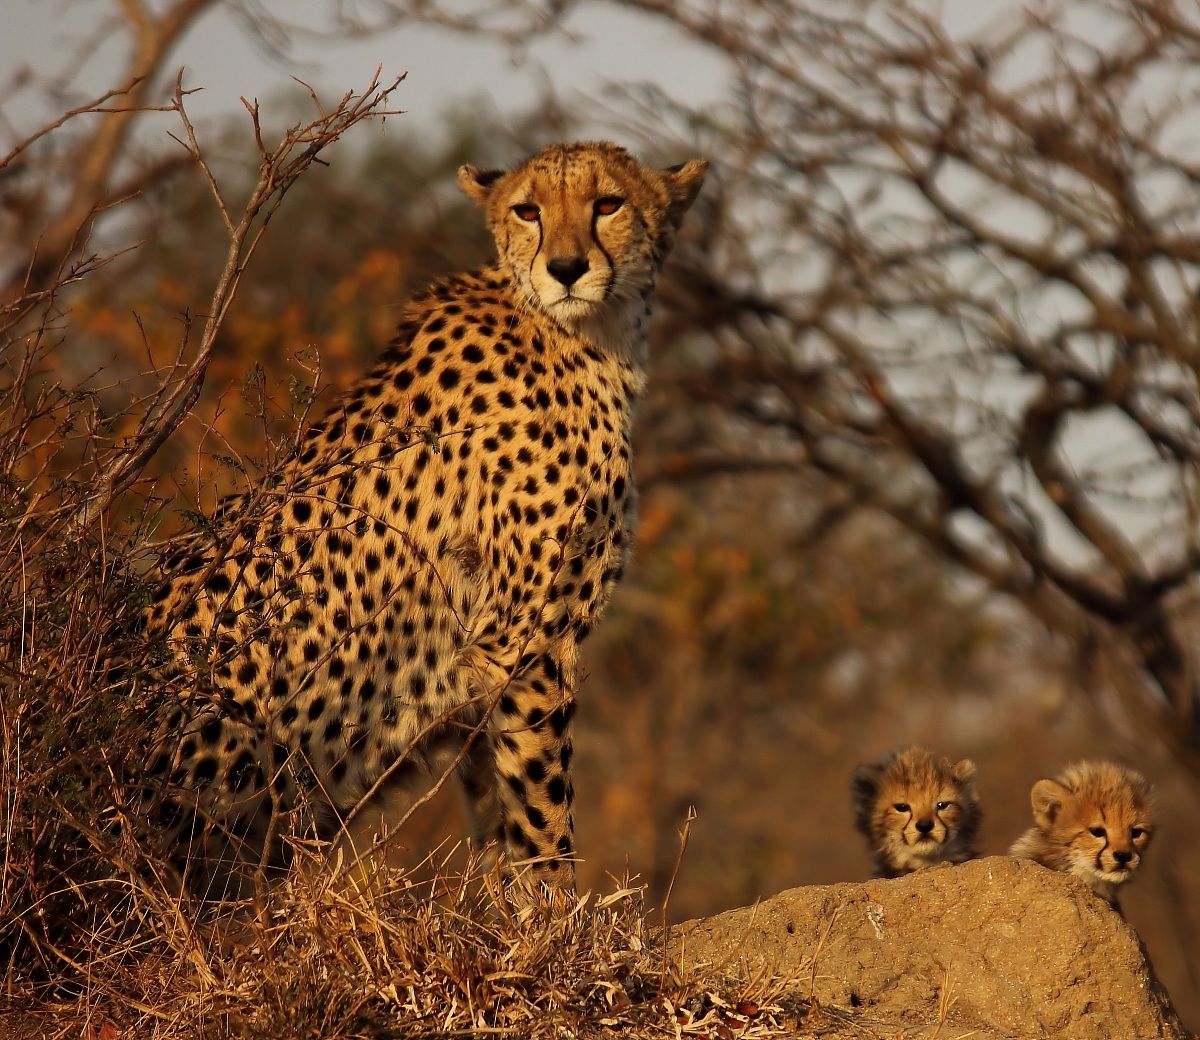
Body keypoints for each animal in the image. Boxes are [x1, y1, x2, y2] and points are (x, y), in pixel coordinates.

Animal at [140, 141, 708, 897]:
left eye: (608, 204)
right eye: (528, 211)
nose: (564, 269)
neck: (588, 336)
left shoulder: (481, 671)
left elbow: (498, 812)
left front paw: (509, 913)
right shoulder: (524, 646)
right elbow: (541, 812)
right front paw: (561, 914)